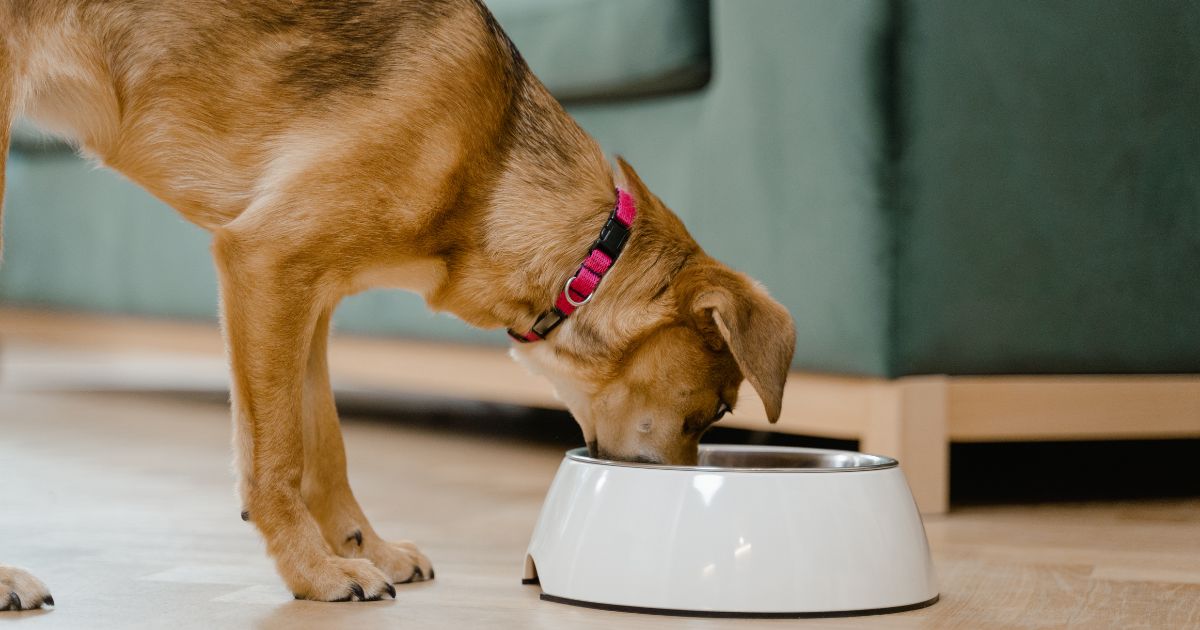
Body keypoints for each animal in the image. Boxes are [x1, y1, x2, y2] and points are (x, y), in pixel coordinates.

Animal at [0, 0, 796, 609]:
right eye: (717, 410)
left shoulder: (306, 298)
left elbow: (324, 444)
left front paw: (362, 547)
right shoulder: (264, 262)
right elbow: (276, 456)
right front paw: (314, 573)